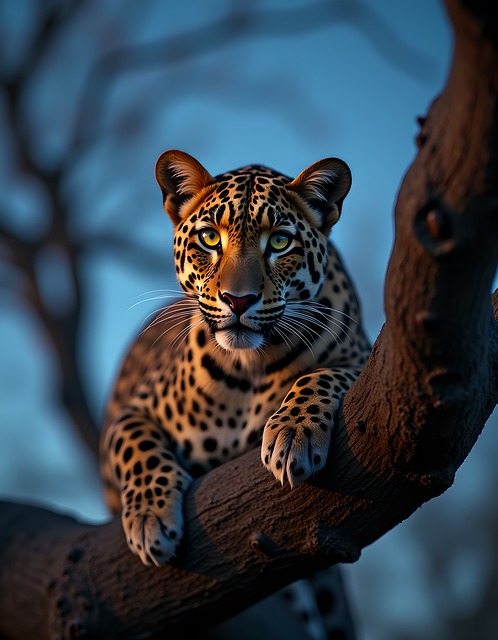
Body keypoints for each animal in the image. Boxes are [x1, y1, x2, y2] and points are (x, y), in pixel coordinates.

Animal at [100, 149, 370, 637]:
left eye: (279, 242)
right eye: (210, 238)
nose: (238, 300)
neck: (248, 369)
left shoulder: (368, 357)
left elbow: (322, 374)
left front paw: (293, 435)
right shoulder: (134, 410)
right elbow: (135, 445)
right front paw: (150, 519)